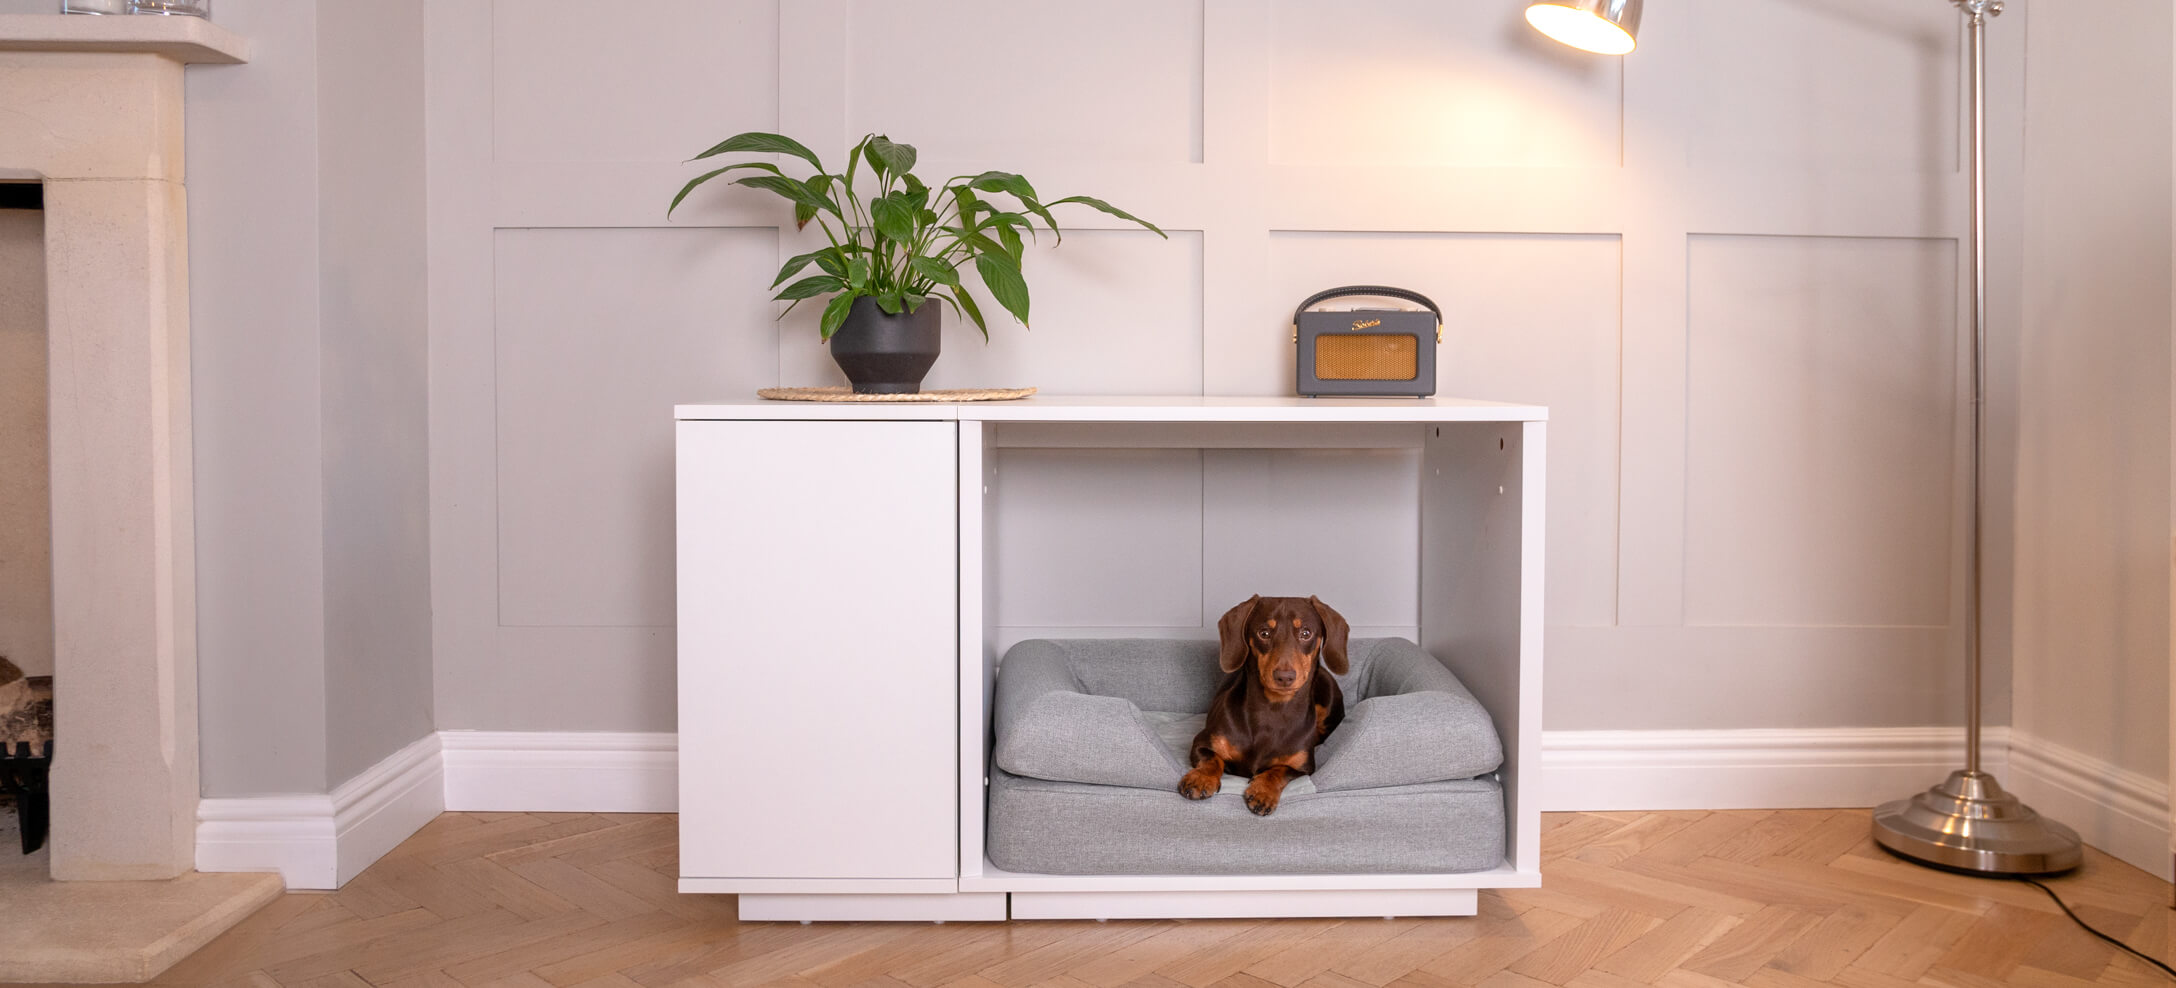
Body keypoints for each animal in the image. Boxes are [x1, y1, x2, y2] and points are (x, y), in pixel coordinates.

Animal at [1175, 596, 1340, 818]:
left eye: (1306, 633)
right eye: (1264, 633)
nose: (1285, 677)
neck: (1273, 709)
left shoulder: (1304, 768)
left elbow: (1279, 770)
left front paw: (1263, 792)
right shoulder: (1202, 743)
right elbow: (1212, 759)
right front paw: (1200, 778)